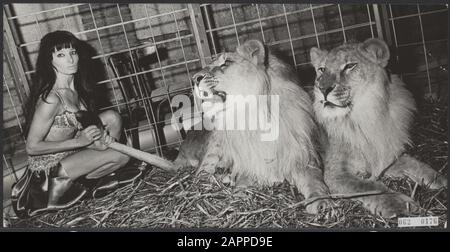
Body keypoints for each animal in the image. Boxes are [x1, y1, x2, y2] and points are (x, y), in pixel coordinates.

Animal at [175, 40, 330, 214]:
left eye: (226, 63)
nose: (194, 78)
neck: (253, 116)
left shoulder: (302, 157)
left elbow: (314, 181)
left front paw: (321, 202)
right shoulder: (249, 164)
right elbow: (242, 183)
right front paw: (237, 199)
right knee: (201, 175)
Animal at [310, 38, 446, 218]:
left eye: (350, 66)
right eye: (322, 69)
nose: (322, 89)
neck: (366, 116)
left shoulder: (385, 153)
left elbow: (415, 164)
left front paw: (440, 180)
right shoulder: (335, 173)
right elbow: (368, 187)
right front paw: (400, 205)